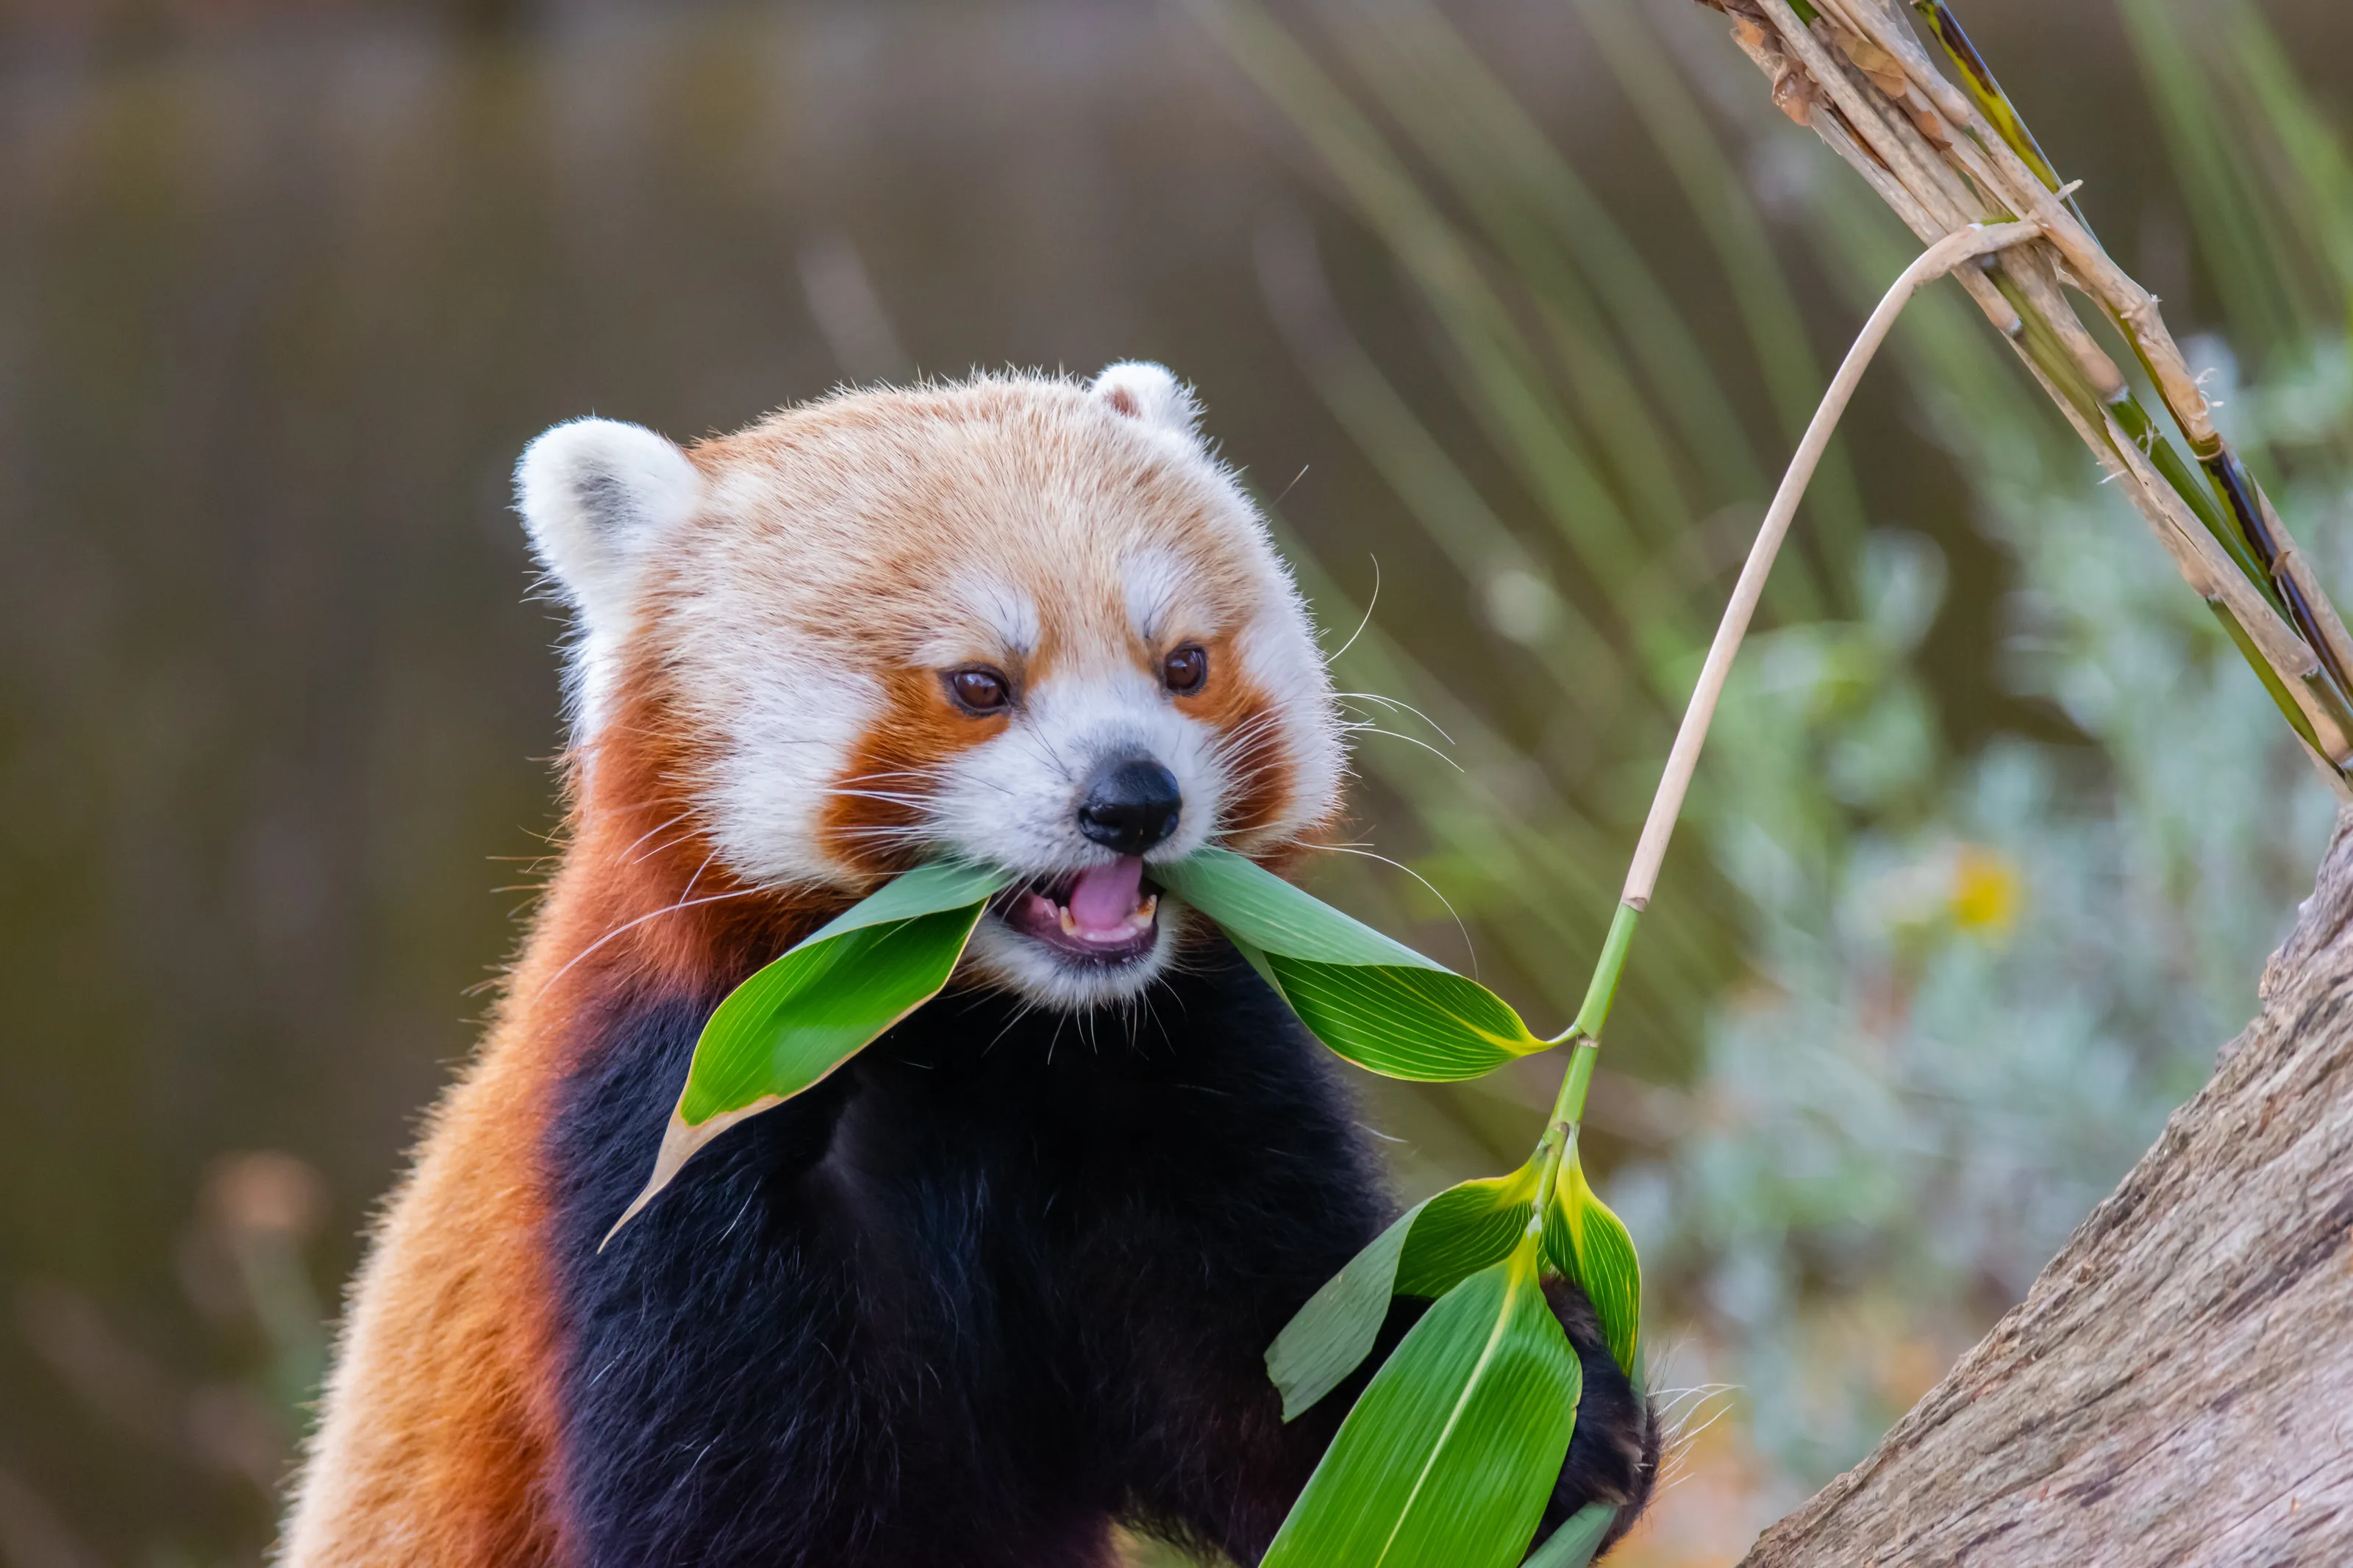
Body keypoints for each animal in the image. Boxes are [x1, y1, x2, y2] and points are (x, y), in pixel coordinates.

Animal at [279, 364, 1658, 1568]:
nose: (1133, 800)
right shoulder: (660, 1166)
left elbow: (1282, 1374)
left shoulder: (1174, 1084)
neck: (973, 1038)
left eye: (1184, 665)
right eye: (980, 685)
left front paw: (1543, 1421)